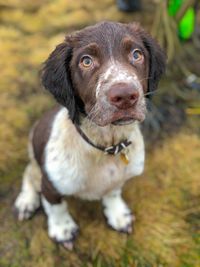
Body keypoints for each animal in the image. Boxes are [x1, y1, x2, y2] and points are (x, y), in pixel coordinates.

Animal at [13, 21, 166, 251]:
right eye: (86, 61)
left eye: (136, 54)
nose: (125, 96)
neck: (106, 146)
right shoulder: (51, 184)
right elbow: (57, 207)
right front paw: (63, 230)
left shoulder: (119, 177)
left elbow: (113, 192)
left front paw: (118, 214)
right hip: (34, 155)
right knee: (29, 174)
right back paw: (26, 201)